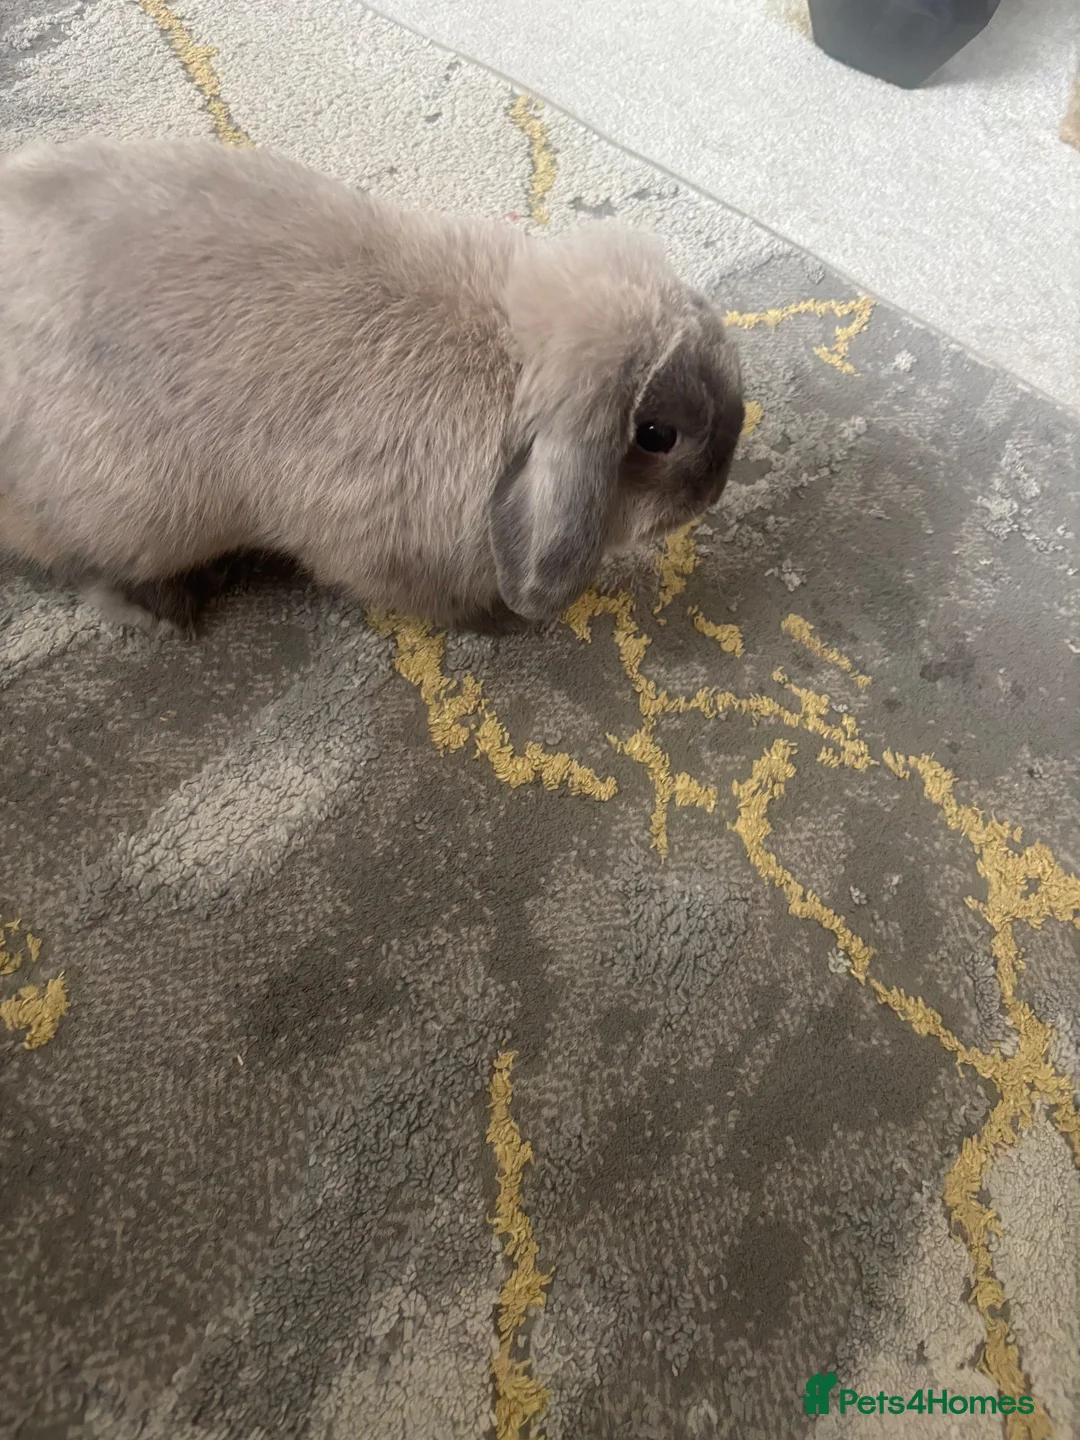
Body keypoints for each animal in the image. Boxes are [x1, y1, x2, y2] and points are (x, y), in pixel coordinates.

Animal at [0, 136, 745, 633]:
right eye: (656, 435)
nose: (712, 493)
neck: (510, 365)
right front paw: (496, 620)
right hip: (134, 509)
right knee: (95, 565)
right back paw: (169, 609)